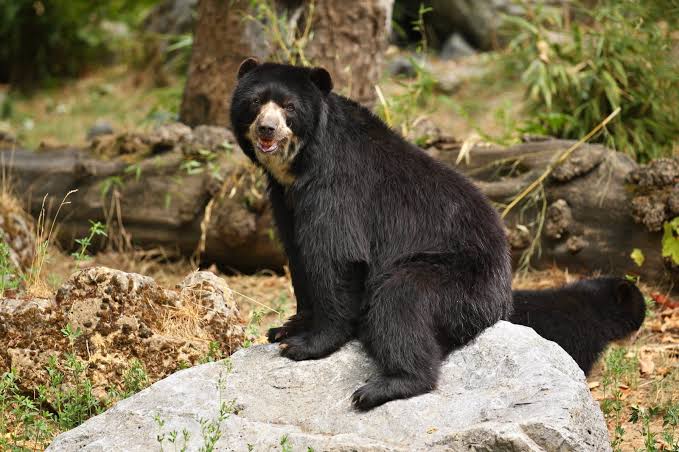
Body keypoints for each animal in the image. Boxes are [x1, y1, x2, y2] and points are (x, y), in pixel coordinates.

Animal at [229, 58, 645, 410]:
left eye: (289, 107)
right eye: (255, 102)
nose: (266, 129)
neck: (299, 165)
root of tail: (502, 298)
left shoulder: (337, 186)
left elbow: (336, 255)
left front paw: (306, 344)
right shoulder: (285, 197)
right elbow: (298, 253)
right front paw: (286, 327)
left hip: (455, 280)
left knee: (402, 302)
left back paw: (385, 386)